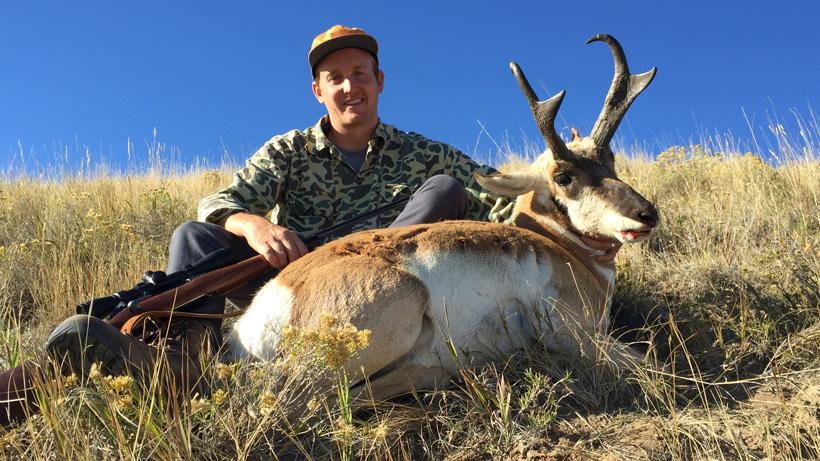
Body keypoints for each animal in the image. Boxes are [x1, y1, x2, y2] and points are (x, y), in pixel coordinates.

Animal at [228, 34, 660, 400]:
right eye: (564, 177)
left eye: (610, 160)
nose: (647, 215)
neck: (554, 242)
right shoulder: (580, 335)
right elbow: (653, 365)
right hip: (401, 301)